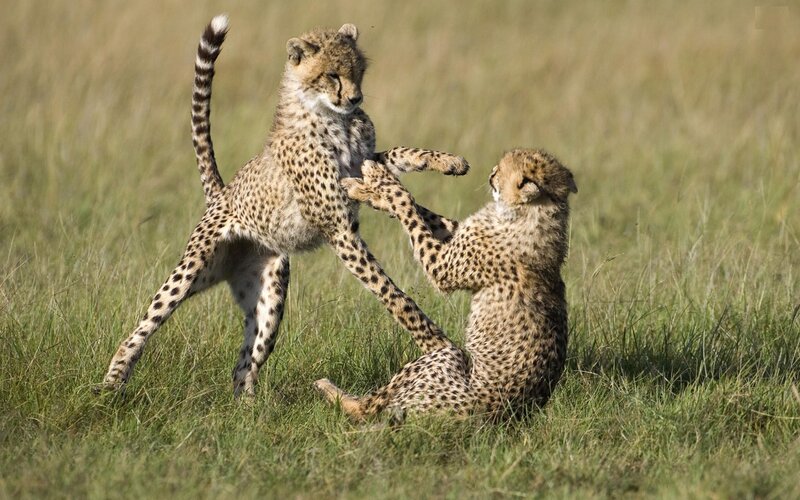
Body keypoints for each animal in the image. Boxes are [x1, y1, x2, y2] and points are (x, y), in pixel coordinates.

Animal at [97, 14, 469, 397]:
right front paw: (436, 343)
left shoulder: (360, 167)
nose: (356, 98)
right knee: (147, 322)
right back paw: (112, 384)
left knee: (245, 365)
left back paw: (250, 408)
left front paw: (447, 163)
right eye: (332, 74)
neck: (332, 116)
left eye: (358, 70)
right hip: (192, 272)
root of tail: (222, 194)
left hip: (269, 296)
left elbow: (397, 162)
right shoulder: (338, 226)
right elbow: (392, 293)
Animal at [314, 148, 577, 420]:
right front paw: (367, 190)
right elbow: (425, 211)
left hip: (445, 358)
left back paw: (328, 388)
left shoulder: (441, 267)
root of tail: (502, 414)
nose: (492, 172)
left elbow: (406, 202)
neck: (533, 214)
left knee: (367, 408)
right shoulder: (457, 234)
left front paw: (379, 179)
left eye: (503, 171)